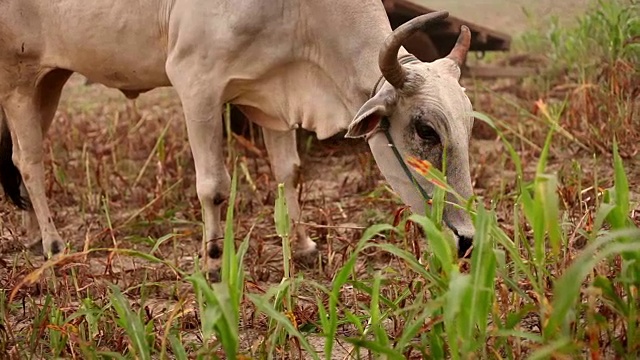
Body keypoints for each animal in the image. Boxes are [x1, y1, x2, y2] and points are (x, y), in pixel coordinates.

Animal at [0, 0, 478, 278]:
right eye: (426, 130)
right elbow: (213, 187)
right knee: (30, 160)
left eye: (469, 125)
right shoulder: (196, 84)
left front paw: (303, 246)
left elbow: (289, 172)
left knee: (23, 157)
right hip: (17, 79)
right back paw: (52, 245)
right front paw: (213, 264)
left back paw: (32, 235)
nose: (468, 240)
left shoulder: (276, 99)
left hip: (49, 80)